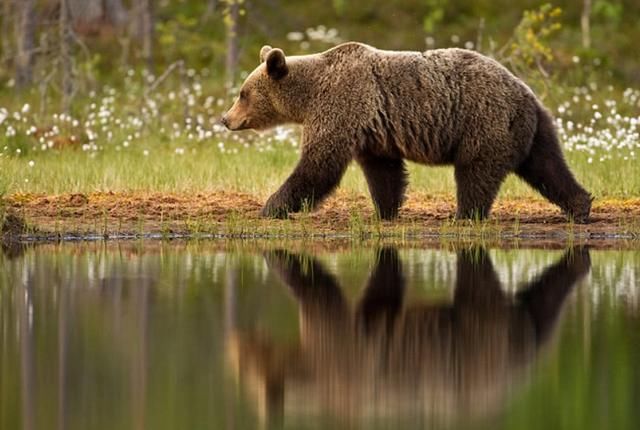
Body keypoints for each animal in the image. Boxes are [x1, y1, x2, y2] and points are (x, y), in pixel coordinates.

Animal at [222, 42, 592, 223]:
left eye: (243, 93)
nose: (226, 119)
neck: (309, 94)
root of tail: (524, 93)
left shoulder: (342, 106)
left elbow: (318, 165)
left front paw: (271, 206)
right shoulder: (372, 130)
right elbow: (383, 171)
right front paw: (384, 211)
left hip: (484, 122)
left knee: (476, 173)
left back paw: (464, 215)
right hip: (532, 128)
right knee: (547, 165)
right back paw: (580, 206)